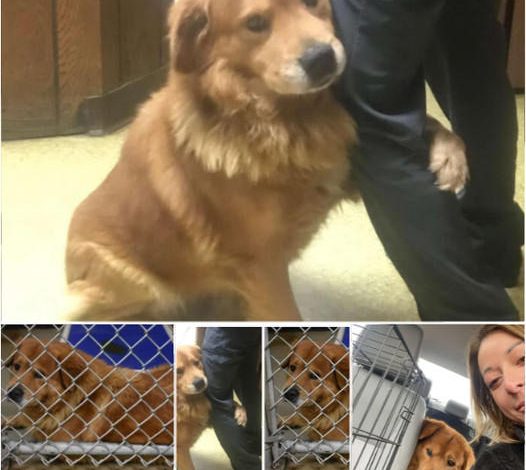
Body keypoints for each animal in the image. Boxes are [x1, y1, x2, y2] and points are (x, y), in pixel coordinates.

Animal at [64, 0, 468, 322]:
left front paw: (451, 155)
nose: (322, 59)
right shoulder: (261, 266)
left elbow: (429, 127)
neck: (278, 121)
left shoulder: (342, 180)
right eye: (256, 23)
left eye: (313, 2)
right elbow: (287, 317)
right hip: (133, 284)